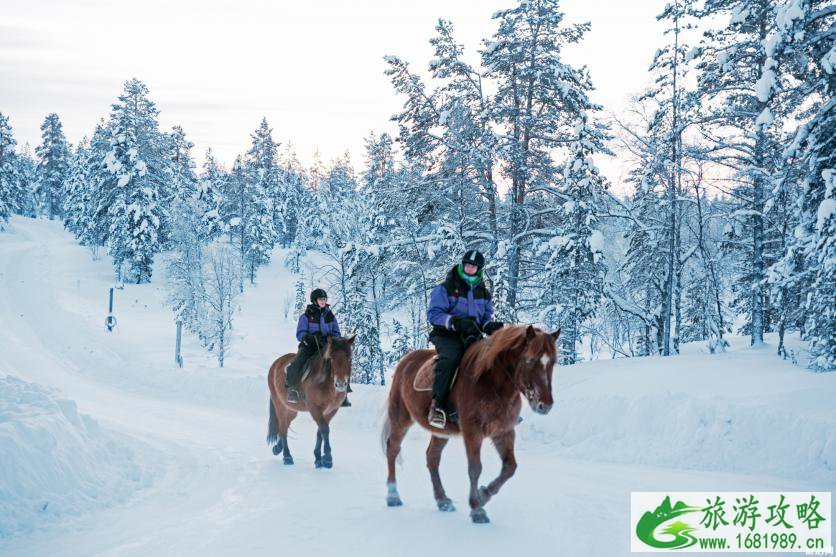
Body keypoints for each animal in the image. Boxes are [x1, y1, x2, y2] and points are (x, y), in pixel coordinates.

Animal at [266, 334, 354, 470]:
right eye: (331, 358)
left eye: (349, 358)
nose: (340, 384)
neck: (324, 383)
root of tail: (276, 363)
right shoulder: (314, 408)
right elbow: (324, 429)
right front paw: (327, 459)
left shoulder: (331, 410)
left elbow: (320, 432)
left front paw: (318, 458)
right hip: (280, 405)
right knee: (283, 428)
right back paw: (287, 456)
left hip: (292, 409)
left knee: (285, 424)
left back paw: (278, 448)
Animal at [382, 324, 560, 524]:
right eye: (530, 360)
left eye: (553, 362)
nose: (545, 405)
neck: (491, 383)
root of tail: (405, 361)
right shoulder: (472, 432)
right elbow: (475, 468)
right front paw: (477, 509)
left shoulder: (504, 431)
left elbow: (510, 467)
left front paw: (484, 495)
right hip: (401, 417)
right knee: (393, 448)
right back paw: (393, 496)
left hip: (441, 432)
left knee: (432, 457)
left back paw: (443, 500)